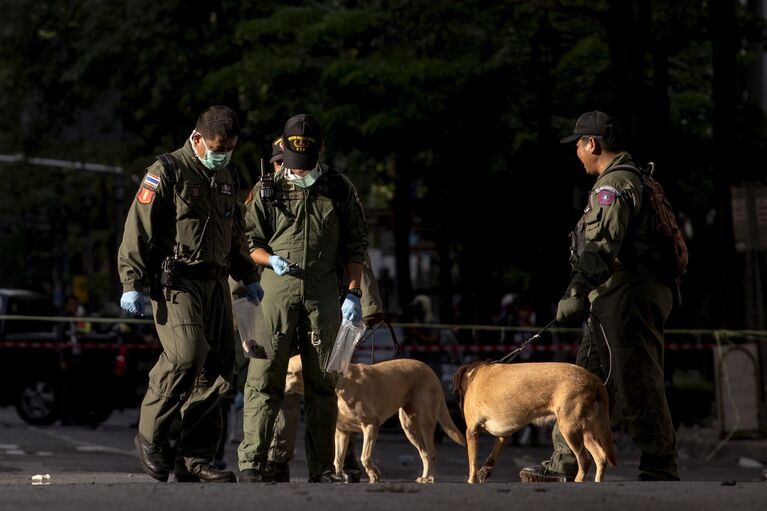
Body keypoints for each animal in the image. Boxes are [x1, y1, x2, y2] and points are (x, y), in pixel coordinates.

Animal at [284, 356, 464, 484]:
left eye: (289, 372)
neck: (338, 384)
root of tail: (431, 371)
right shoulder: (342, 432)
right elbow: (338, 459)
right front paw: (338, 477)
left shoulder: (371, 425)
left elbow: (365, 456)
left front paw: (374, 474)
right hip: (409, 426)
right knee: (424, 453)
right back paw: (425, 476)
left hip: (425, 422)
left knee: (432, 452)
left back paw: (431, 477)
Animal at [456, 360, 616, 484]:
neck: (475, 373)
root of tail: (595, 380)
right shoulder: (503, 435)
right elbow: (492, 455)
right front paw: (485, 471)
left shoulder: (471, 432)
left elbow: (472, 461)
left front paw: (472, 480)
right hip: (586, 431)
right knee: (601, 457)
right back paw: (598, 481)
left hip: (569, 428)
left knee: (584, 459)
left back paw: (578, 481)